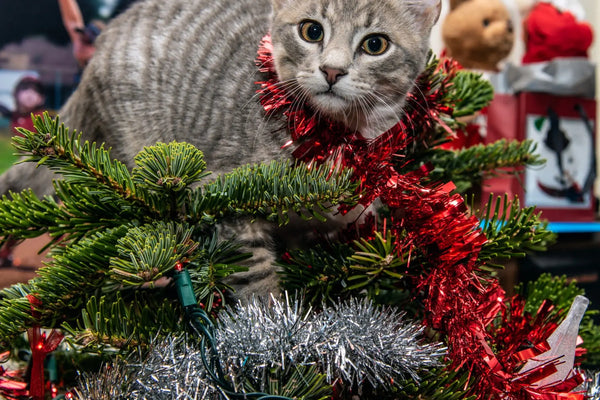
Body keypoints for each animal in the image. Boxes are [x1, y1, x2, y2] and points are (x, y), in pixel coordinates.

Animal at [0, 0, 440, 298]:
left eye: (375, 44)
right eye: (311, 31)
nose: (332, 70)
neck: (334, 138)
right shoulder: (224, 192)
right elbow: (254, 272)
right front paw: (273, 334)